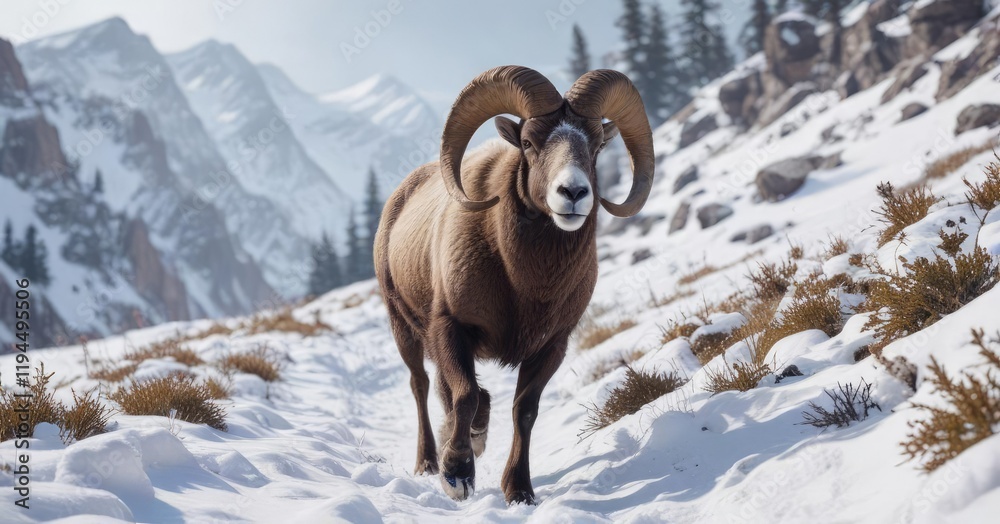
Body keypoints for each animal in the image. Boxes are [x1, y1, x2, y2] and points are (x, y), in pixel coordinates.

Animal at [374, 65, 654, 504]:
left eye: (595, 147)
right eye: (528, 142)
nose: (573, 192)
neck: (525, 286)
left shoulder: (550, 346)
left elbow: (523, 410)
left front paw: (519, 489)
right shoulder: (451, 328)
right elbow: (465, 395)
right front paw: (457, 473)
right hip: (404, 328)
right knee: (422, 385)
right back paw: (429, 462)